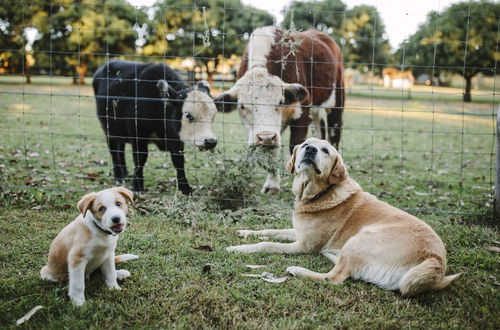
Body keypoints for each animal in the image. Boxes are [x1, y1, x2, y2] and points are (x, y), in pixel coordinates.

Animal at [93, 60, 218, 193]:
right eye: (188, 115)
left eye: (214, 115)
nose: (211, 141)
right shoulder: (138, 134)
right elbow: (140, 159)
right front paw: (137, 186)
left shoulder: (175, 138)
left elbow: (178, 160)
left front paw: (185, 187)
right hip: (108, 128)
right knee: (113, 150)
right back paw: (119, 176)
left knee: (120, 149)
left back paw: (125, 173)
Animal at [215, 26, 344, 193]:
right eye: (242, 106)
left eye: (281, 102)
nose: (265, 136)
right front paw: (272, 185)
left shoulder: (302, 111)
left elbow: (295, 145)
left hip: (337, 100)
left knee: (335, 131)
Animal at [228, 137, 460, 296]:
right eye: (305, 144)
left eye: (325, 150)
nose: (310, 149)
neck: (317, 194)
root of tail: (434, 259)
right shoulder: (297, 233)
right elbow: (270, 231)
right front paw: (245, 232)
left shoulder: (304, 245)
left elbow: (267, 243)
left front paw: (239, 248)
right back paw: (331, 254)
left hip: (361, 238)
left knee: (334, 277)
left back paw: (298, 269)